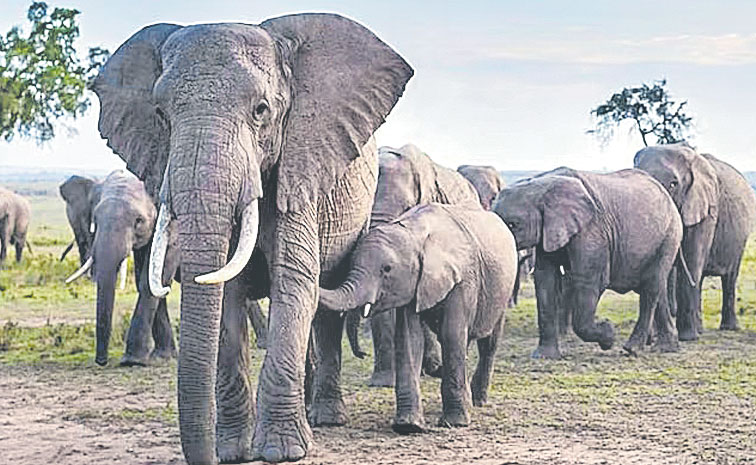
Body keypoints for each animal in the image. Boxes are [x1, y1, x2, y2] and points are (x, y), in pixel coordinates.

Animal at [65, 170, 179, 367]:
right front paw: (162, 356)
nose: (102, 361)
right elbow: (148, 278)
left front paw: (133, 361)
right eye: (94, 220)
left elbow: (153, 279)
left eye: (138, 221)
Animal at [92, 14, 412, 463]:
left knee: (326, 306)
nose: (207, 455)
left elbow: (292, 282)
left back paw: (325, 419)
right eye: (159, 114)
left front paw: (281, 452)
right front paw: (231, 451)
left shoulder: (299, 172)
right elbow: (226, 295)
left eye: (261, 111)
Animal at [319, 203, 517, 433]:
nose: (362, 354)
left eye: (386, 269)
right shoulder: (412, 284)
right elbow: (409, 339)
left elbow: (451, 335)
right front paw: (409, 426)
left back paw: (478, 402)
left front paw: (455, 423)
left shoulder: (463, 279)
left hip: (502, 290)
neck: (414, 233)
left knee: (487, 343)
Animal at [493, 167, 683, 358]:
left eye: (513, 225)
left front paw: (608, 334)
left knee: (651, 288)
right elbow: (545, 280)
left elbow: (590, 280)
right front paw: (543, 356)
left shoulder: (592, 230)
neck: (542, 184)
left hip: (669, 236)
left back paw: (632, 349)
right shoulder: (550, 231)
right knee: (657, 288)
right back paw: (666, 347)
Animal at [634, 143, 756, 340]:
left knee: (729, 277)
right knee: (700, 278)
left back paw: (727, 328)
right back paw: (700, 330)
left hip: (741, 239)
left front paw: (687, 338)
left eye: (673, 184)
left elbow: (690, 264)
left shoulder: (704, 211)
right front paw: (653, 339)